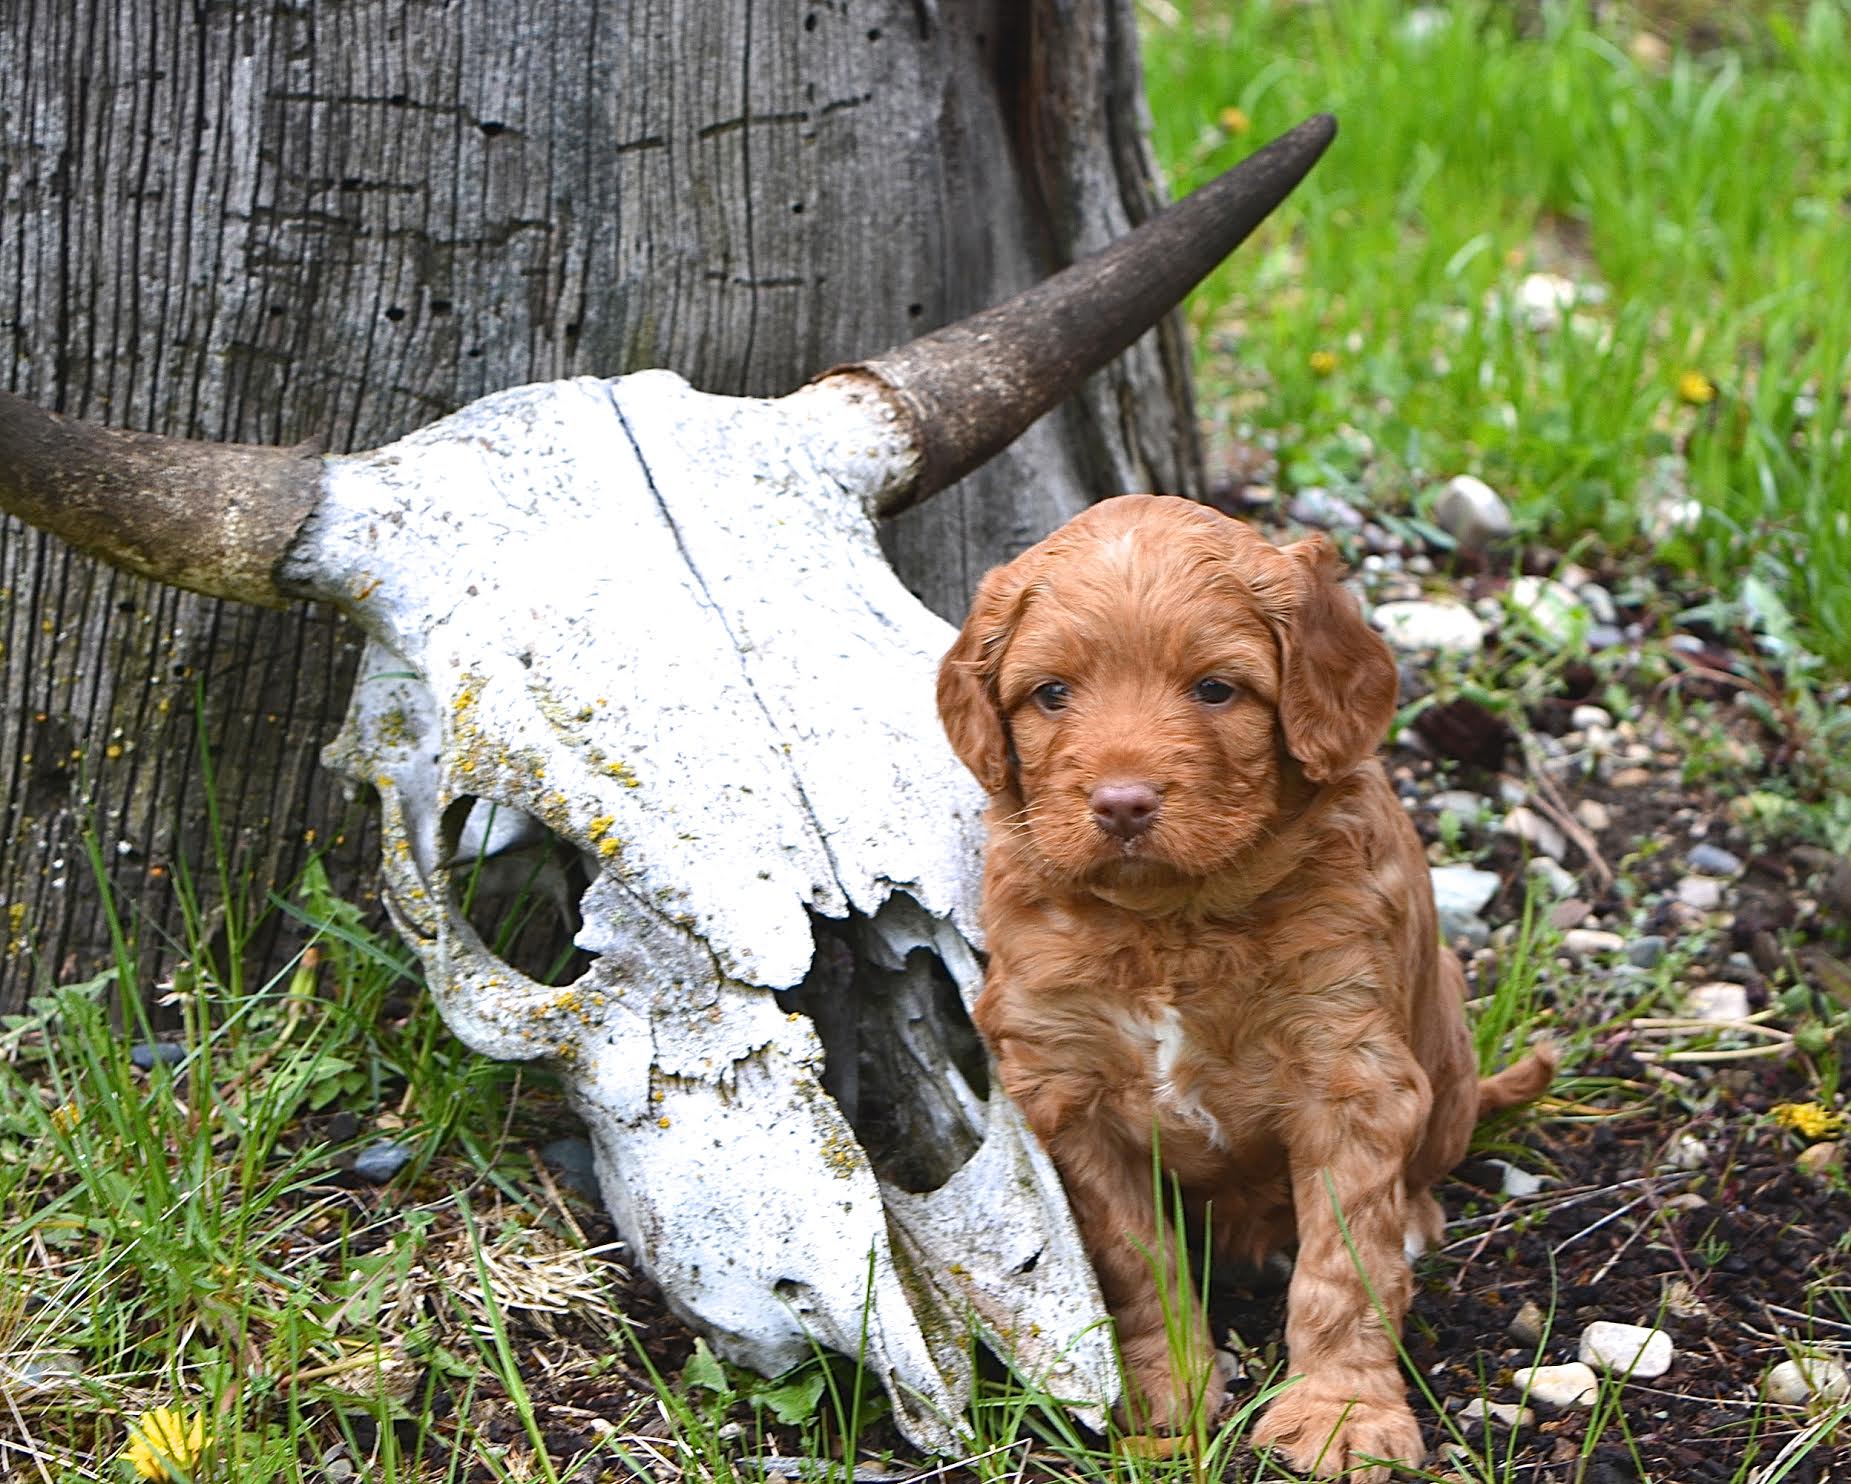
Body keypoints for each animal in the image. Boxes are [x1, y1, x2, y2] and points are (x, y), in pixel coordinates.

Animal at [932, 495, 1554, 1465]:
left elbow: (1343, 1263)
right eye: (1052, 694)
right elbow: (1131, 1253)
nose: (1121, 803)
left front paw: (1342, 1414)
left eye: (1215, 689)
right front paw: (1163, 1395)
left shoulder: (1349, 1068)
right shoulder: (1063, 1084)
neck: (1172, 924)